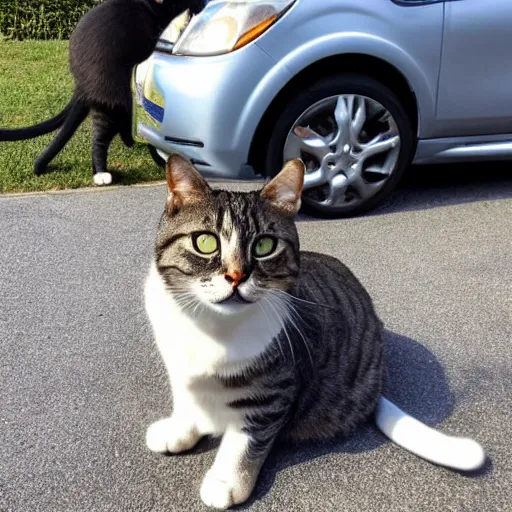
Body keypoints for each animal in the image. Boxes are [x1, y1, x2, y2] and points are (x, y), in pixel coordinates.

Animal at [144, 155, 484, 508]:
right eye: (206, 241)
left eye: (265, 245)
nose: (237, 276)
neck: (213, 326)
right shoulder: (180, 369)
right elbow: (187, 401)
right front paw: (180, 430)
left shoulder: (273, 394)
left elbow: (245, 440)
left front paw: (227, 481)